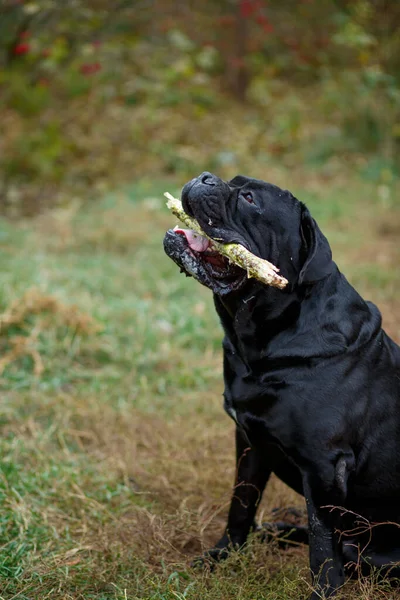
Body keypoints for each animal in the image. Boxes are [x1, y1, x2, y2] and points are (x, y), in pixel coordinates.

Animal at [164, 171, 400, 596]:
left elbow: (322, 549)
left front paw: (324, 593)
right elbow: (240, 505)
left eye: (250, 198)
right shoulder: (250, 442)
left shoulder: (324, 466)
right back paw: (278, 529)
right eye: (233, 181)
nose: (206, 176)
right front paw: (222, 555)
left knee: (349, 551)